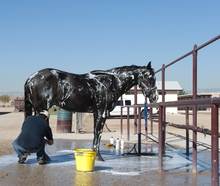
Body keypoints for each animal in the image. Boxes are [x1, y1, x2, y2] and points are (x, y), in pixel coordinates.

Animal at [24, 61, 157, 161]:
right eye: (150, 78)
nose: (155, 97)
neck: (111, 82)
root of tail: (30, 79)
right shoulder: (101, 113)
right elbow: (98, 134)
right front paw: (98, 156)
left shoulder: (96, 113)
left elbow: (95, 134)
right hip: (41, 110)